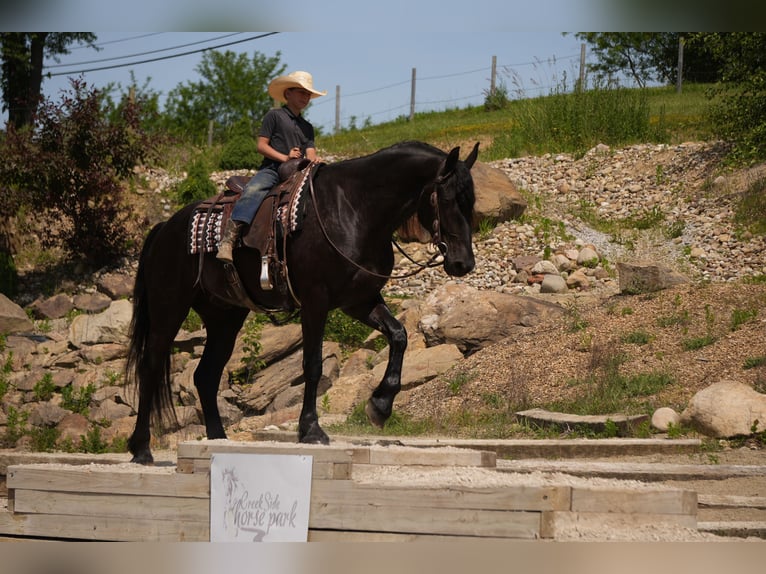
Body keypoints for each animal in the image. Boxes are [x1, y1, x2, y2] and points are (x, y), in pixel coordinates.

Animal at [125, 140, 479, 464]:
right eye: (449, 199)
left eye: (471, 201)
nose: (463, 263)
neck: (354, 209)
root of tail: (165, 228)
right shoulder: (315, 302)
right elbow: (313, 364)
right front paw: (310, 429)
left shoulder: (359, 301)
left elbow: (399, 336)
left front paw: (380, 406)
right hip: (169, 309)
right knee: (151, 366)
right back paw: (141, 449)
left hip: (224, 318)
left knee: (205, 375)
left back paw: (217, 438)